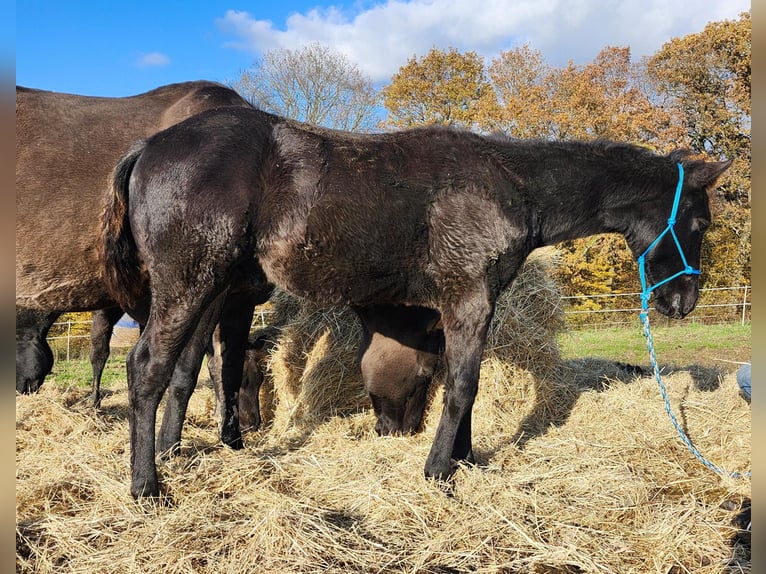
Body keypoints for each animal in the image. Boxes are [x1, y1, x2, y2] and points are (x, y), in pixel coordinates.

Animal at [100, 106, 731, 497]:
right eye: (700, 222)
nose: (682, 301)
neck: (510, 185)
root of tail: (146, 148)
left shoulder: (457, 307)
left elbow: (458, 380)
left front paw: (463, 459)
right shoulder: (469, 297)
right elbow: (462, 385)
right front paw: (437, 472)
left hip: (211, 286)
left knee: (188, 368)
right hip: (189, 282)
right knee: (147, 368)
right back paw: (147, 486)